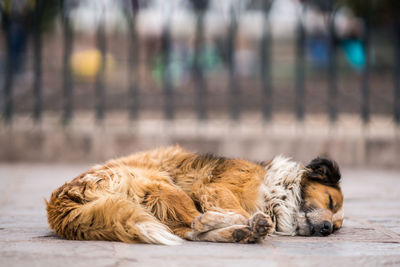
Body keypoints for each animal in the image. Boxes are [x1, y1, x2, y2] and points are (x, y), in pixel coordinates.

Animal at [46, 147, 340, 245]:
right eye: (331, 201)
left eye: (337, 227)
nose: (327, 228)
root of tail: (60, 201)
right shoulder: (214, 189)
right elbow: (236, 208)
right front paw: (253, 220)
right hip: (164, 184)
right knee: (199, 221)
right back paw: (248, 226)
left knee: (191, 230)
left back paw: (243, 232)